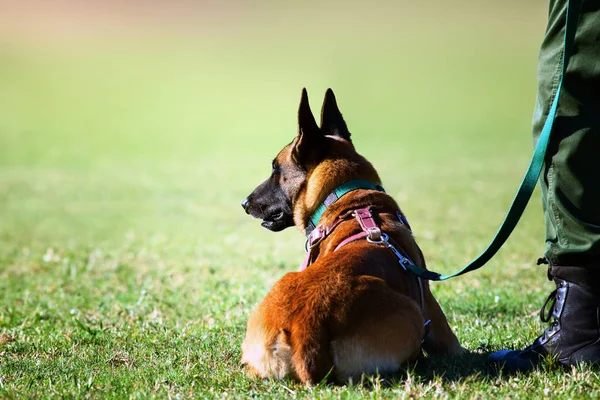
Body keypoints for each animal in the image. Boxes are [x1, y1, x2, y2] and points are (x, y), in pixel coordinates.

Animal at [240, 88, 464, 384]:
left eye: (276, 170)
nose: (244, 203)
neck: (349, 199)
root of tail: (306, 329)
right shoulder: (433, 313)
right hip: (414, 314)